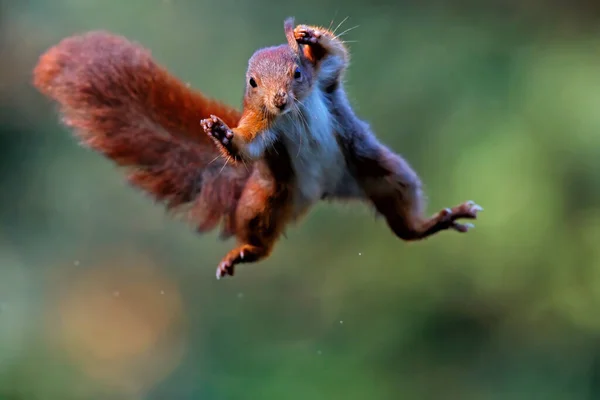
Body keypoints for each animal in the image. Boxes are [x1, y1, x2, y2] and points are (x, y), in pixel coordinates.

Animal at [31, 18, 482, 278]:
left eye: (297, 72)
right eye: (252, 83)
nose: (279, 100)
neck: (293, 113)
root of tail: (324, 190)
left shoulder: (326, 81)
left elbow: (337, 56)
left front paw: (310, 36)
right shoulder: (263, 128)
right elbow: (246, 146)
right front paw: (222, 135)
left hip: (378, 170)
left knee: (404, 222)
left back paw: (437, 221)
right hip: (266, 198)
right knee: (263, 238)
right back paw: (246, 252)